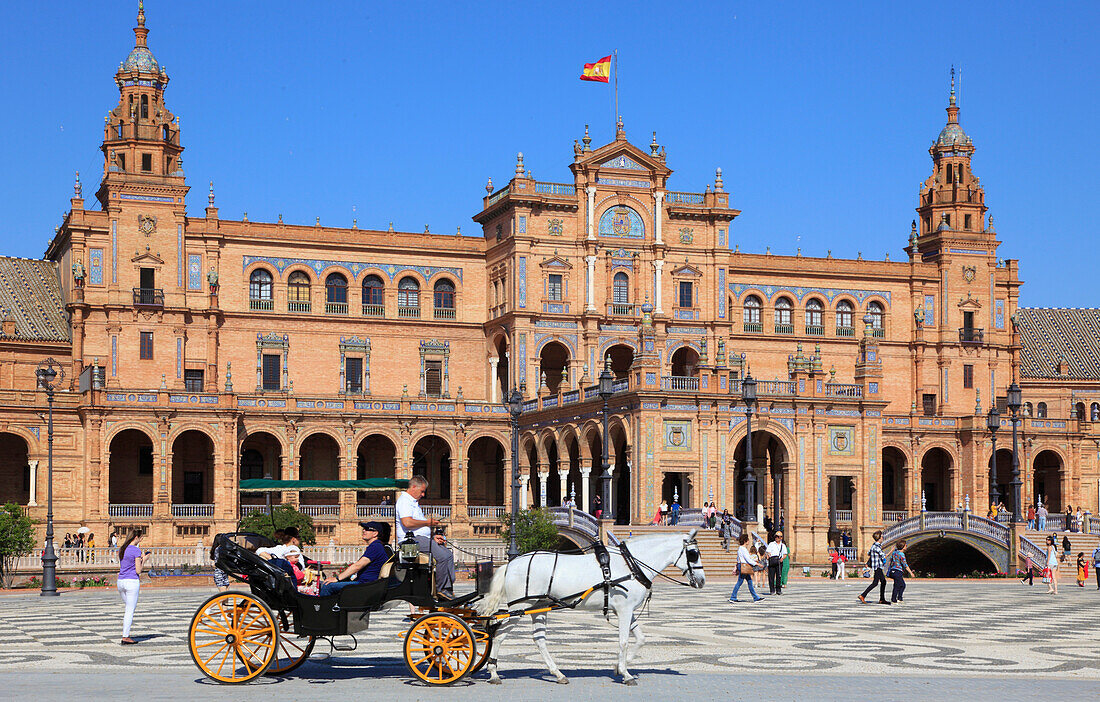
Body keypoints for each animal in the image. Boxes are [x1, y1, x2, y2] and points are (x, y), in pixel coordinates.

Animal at [479, 532, 704, 686]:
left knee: (539, 639)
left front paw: (618, 667)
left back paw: (557, 673)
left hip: (539, 607)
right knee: (499, 634)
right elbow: (623, 642)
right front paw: (626, 673)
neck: (630, 565)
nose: (702, 581)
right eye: (693, 554)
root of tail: (511, 563)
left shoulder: (626, 610)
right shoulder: (624, 610)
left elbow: (640, 639)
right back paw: (494, 673)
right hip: (520, 607)